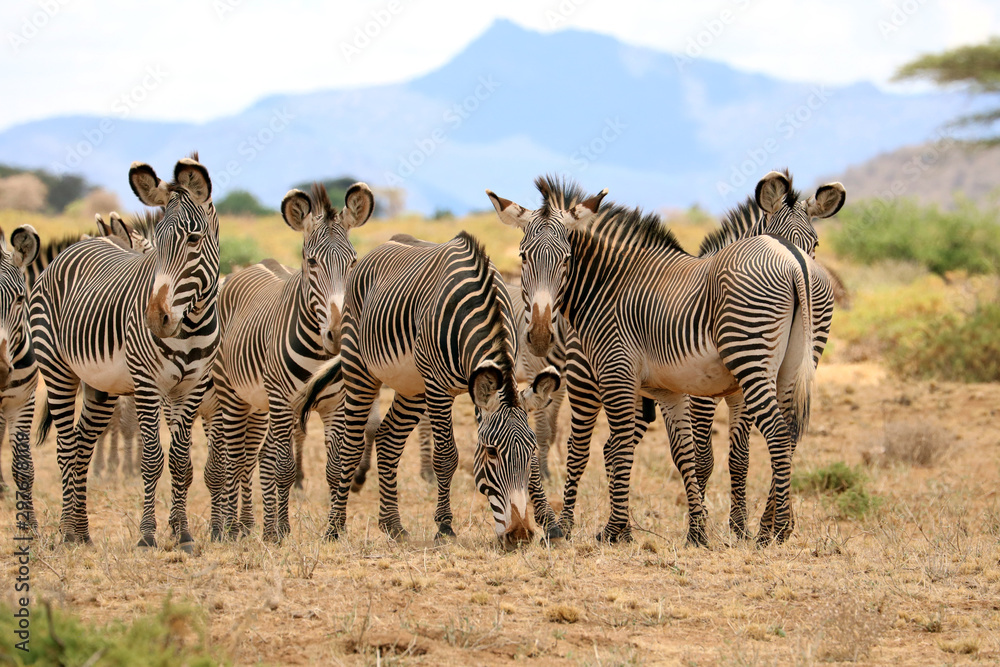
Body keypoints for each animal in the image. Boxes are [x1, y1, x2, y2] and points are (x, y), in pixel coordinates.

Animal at [29, 155, 220, 551]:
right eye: (160, 243)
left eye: (194, 240)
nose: (156, 318)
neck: (190, 325)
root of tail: (72, 250)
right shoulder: (147, 385)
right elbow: (152, 458)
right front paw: (147, 535)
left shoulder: (192, 387)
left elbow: (180, 460)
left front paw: (183, 534)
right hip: (58, 371)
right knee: (66, 447)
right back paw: (67, 532)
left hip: (101, 387)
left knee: (83, 445)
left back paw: (82, 532)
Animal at [203, 182, 373, 542]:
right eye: (311, 262)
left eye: (353, 261)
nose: (336, 333)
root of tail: (250, 268)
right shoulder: (281, 399)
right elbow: (282, 466)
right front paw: (276, 533)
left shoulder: (335, 404)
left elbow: (335, 467)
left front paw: (333, 529)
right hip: (233, 396)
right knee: (234, 460)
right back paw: (230, 528)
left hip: (262, 405)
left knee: (259, 456)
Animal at [312, 231, 563, 548]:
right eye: (491, 452)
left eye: (530, 451)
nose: (518, 535)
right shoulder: (438, 388)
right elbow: (446, 456)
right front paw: (444, 527)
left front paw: (551, 524)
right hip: (359, 367)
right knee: (351, 445)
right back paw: (334, 527)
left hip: (412, 387)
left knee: (389, 439)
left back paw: (392, 525)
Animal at [487, 175, 831, 546]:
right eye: (523, 257)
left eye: (567, 259)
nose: (538, 334)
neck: (610, 284)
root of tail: (792, 259)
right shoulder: (670, 390)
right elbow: (684, 455)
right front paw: (697, 532)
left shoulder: (616, 373)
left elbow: (619, 448)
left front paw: (613, 530)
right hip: (789, 370)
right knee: (789, 434)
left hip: (745, 361)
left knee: (779, 434)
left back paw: (776, 529)